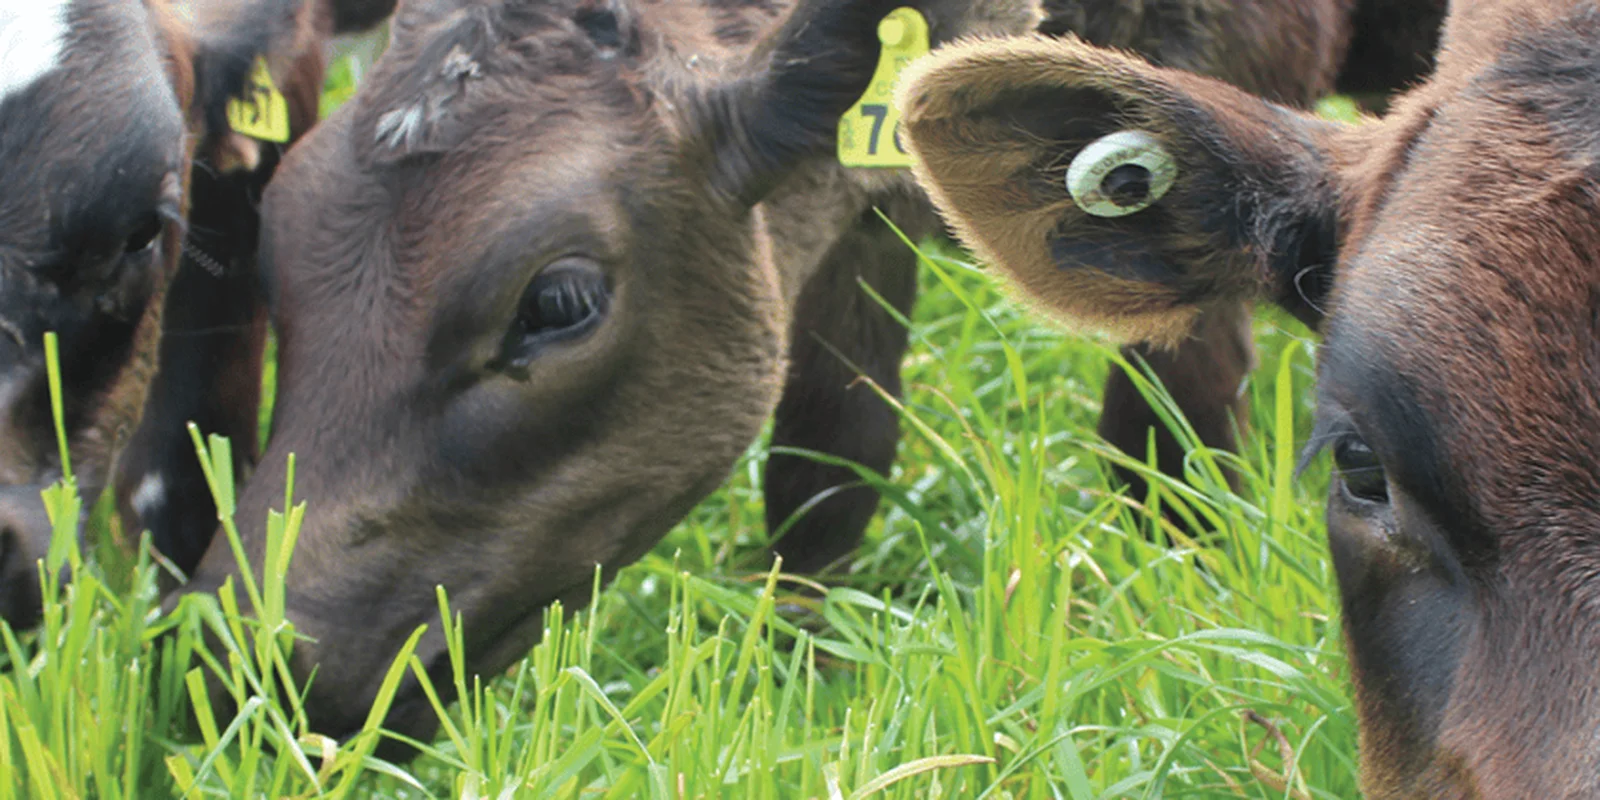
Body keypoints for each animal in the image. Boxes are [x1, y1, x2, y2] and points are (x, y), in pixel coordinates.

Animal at [173, 0, 1444, 747]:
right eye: (269, 240)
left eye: (558, 301)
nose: (236, 657)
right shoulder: (863, 202)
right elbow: (827, 458)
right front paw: (802, 667)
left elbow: (1167, 449)